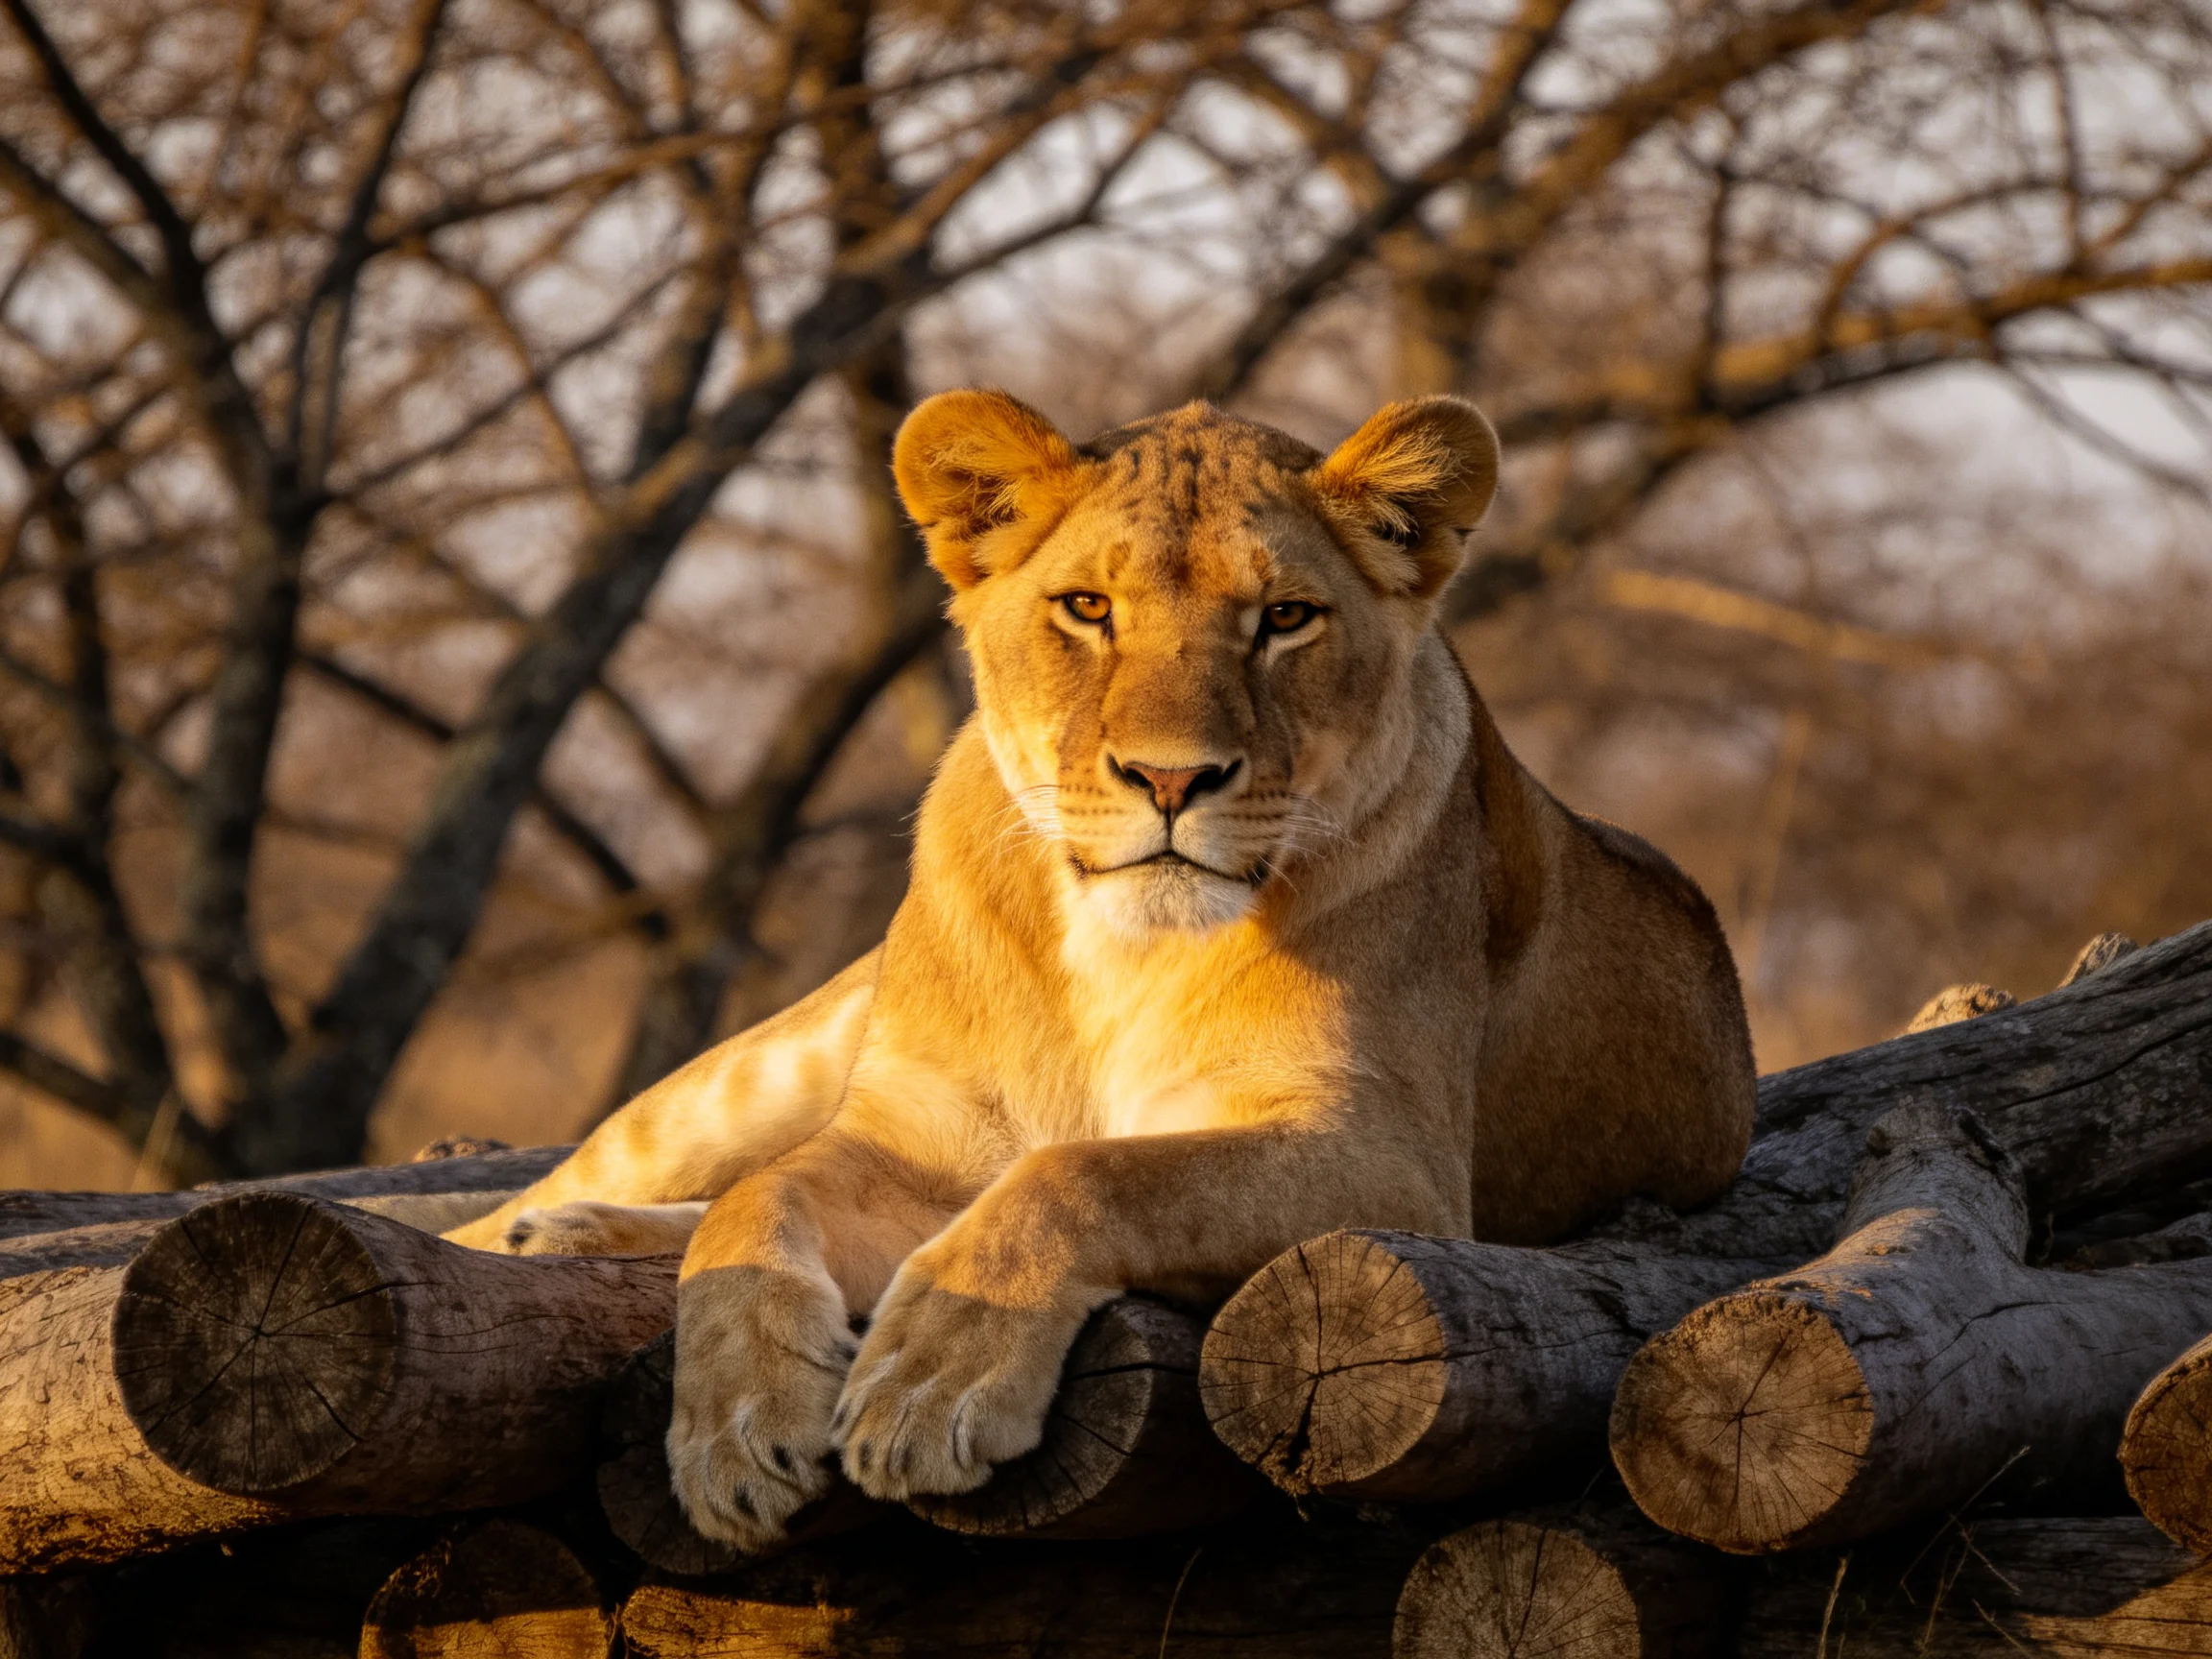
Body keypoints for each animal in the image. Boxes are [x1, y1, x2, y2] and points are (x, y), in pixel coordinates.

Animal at [446, 389, 1756, 1550]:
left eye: (1286, 618)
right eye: (1087, 607)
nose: (1173, 779)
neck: (1121, 948)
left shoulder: (1391, 1163)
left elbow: (1082, 1174)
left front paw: (932, 1380)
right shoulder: (917, 1134)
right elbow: (756, 1206)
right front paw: (732, 1433)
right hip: (767, 1065)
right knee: (608, 1184)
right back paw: (541, 1230)